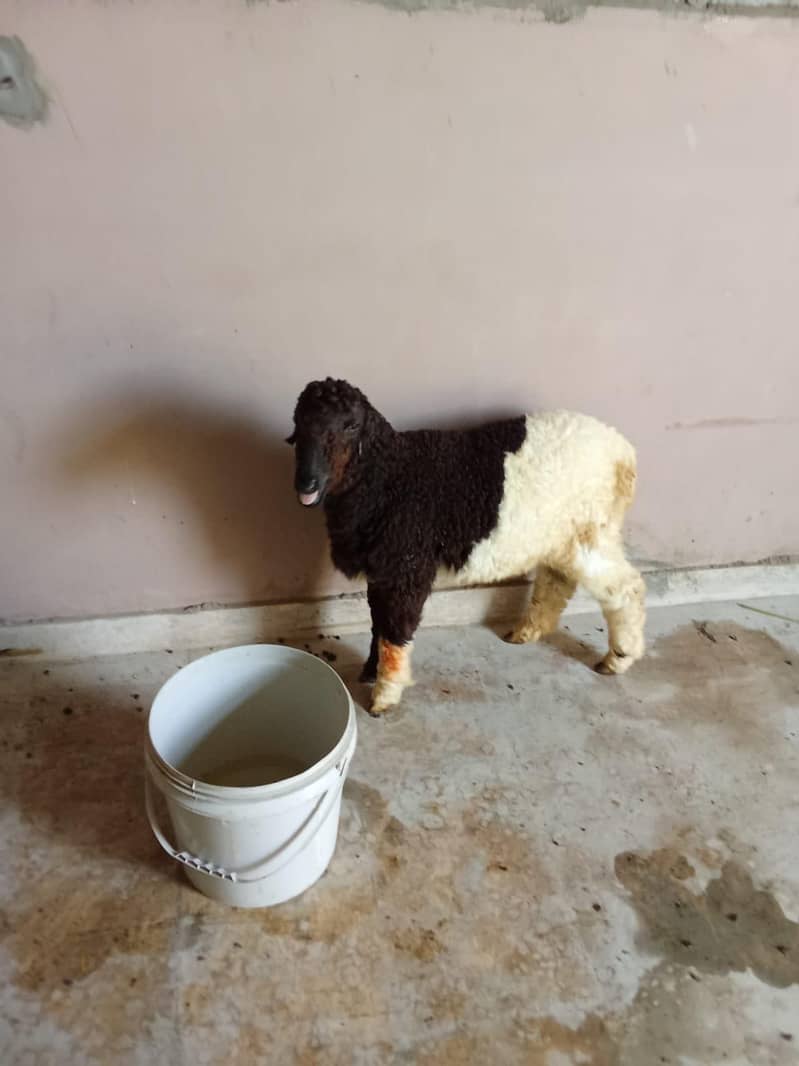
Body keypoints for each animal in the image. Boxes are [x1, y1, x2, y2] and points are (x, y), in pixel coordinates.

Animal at [287, 378, 646, 716]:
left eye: (351, 425)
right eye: (299, 423)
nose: (307, 483)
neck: (387, 475)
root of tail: (624, 452)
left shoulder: (408, 567)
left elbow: (394, 633)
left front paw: (384, 696)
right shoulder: (383, 570)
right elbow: (378, 624)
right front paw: (371, 671)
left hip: (591, 533)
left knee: (627, 588)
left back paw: (618, 658)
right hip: (561, 538)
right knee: (558, 580)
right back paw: (527, 632)